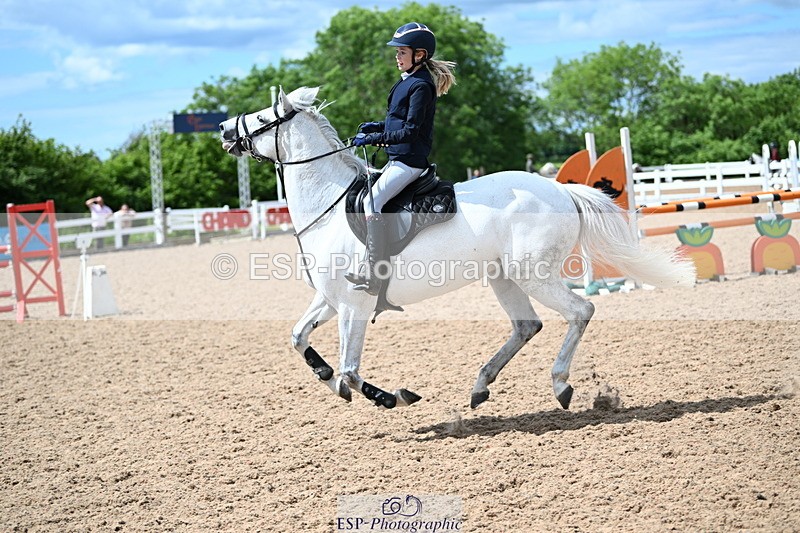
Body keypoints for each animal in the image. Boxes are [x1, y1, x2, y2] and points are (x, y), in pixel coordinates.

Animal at [219, 86, 695, 410]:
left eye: (261, 117)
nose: (223, 128)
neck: (331, 203)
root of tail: (560, 190)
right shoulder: (331, 299)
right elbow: (299, 337)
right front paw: (324, 372)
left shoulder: (354, 303)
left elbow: (351, 373)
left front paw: (393, 396)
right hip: (504, 277)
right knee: (527, 326)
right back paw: (481, 386)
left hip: (533, 275)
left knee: (581, 311)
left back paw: (560, 384)